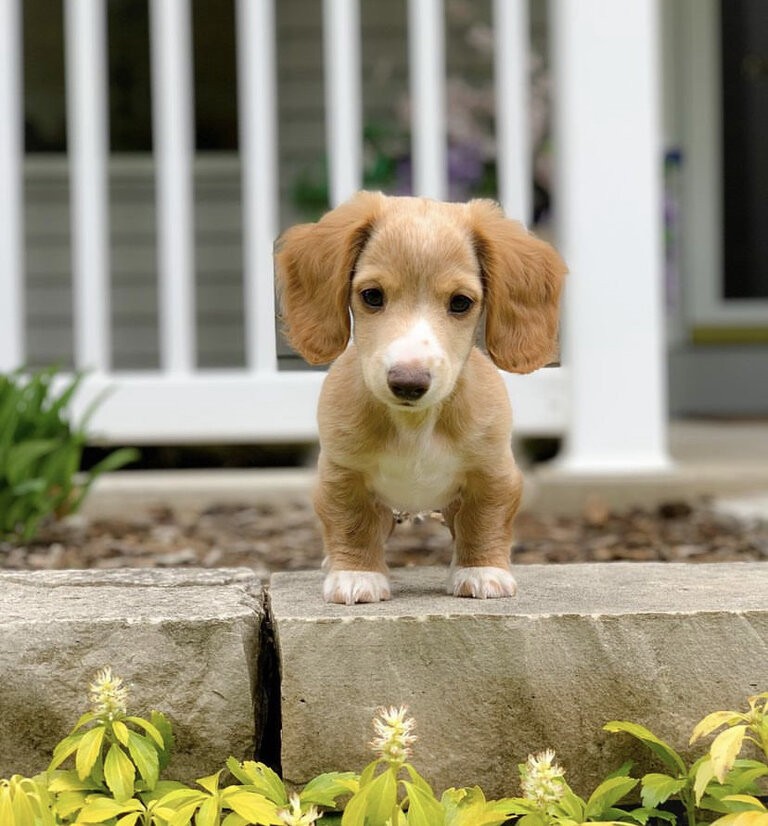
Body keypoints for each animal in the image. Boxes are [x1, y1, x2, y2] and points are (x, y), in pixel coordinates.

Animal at [274, 194, 564, 604]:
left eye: (460, 303)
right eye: (372, 296)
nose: (408, 384)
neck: (415, 422)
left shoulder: (493, 473)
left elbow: (484, 520)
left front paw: (482, 570)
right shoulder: (341, 473)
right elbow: (350, 522)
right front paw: (355, 574)